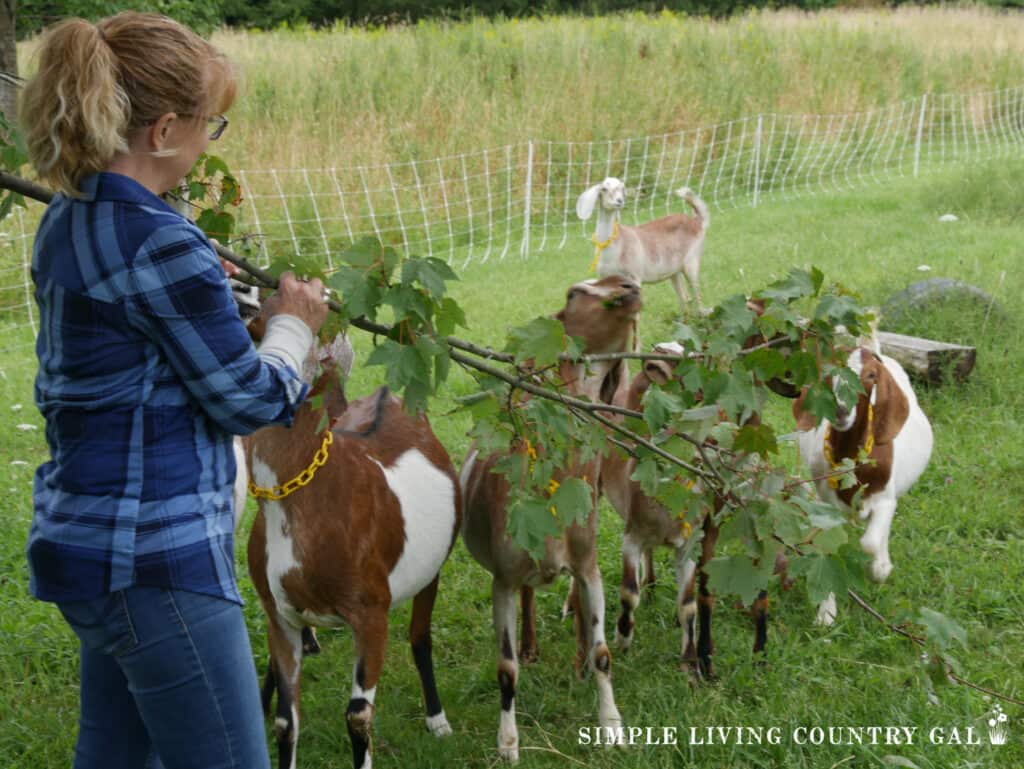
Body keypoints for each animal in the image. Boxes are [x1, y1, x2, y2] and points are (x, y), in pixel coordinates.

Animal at [239, 335, 460, 769]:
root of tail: (386, 394)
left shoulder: (371, 615)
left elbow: (358, 716)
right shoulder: (279, 615)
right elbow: (286, 721)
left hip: (430, 573)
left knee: (420, 637)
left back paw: (438, 719)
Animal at [462, 276, 638, 765]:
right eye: (574, 293)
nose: (629, 285)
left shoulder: (589, 563)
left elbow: (602, 650)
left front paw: (612, 727)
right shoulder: (501, 577)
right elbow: (505, 668)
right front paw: (507, 745)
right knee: (527, 596)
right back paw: (531, 647)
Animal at [790, 348, 937, 626]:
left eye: (871, 375)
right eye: (828, 372)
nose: (840, 411)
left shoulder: (885, 499)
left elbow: (869, 541)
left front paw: (878, 570)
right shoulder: (825, 507)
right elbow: (828, 546)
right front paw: (826, 614)